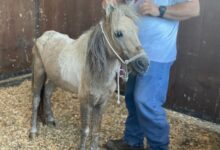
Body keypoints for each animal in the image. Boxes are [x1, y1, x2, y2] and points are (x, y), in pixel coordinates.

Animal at [29, 1, 149, 149]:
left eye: (136, 30)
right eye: (118, 33)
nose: (144, 64)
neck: (95, 71)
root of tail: (43, 36)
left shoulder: (102, 103)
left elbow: (96, 130)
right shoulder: (85, 102)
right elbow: (85, 130)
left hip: (54, 78)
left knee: (47, 93)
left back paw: (51, 120)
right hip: (39, 73)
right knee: (36, 100)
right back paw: (33, 132)